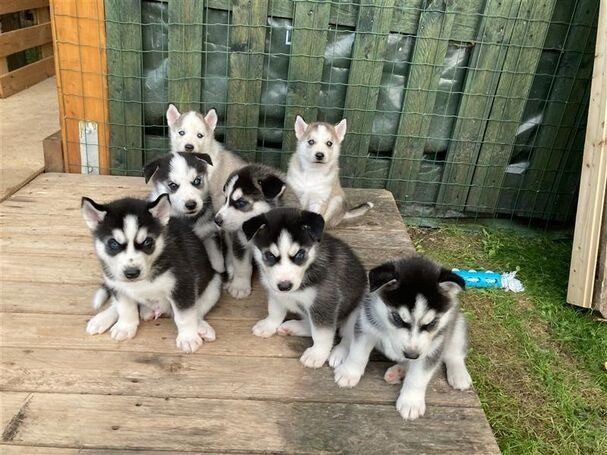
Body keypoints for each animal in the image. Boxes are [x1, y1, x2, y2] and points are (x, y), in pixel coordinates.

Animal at [82, 194, 222, 354]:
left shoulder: (183, 284)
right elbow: (124, 308)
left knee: (198, 309)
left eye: (147, 242)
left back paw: (202, 327)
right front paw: (125, 327)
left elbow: (185, 316)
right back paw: (102, 319)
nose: (132, 273)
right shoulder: (117, 285)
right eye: (113, 243)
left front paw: (188, 338)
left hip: (214, 285)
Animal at [214, 164, 302, 300]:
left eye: (241, 202)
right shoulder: (240, 242)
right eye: (226, 199)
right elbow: (241, 265)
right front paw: (239, 287)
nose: (216, 220)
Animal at [241, 208, 366, 368]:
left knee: (348, 335)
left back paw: (340, 353)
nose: (285, 286)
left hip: (356, 312)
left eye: (300, 254)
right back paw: (293, 327)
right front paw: (269, 325)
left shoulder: (324, 302)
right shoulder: (276, 294)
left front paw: (317, 354)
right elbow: (275, 311)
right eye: (269, 255)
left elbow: (322, 333)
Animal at [332, 255, 470, 422]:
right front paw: (349, 373)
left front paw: (411, 402)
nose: (412, 355)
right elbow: (357, 354)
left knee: (454, 354)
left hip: (457, 325)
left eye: (431, 323)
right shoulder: (366, 326)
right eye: (397, 318)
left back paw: (459, 374)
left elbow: (418, 377)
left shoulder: (433, 348)